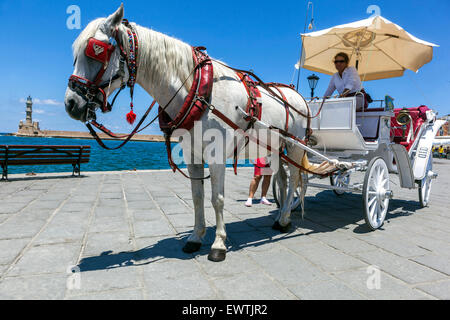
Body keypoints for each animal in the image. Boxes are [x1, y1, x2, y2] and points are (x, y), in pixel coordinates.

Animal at [65, 5, 310, 262]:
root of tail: (298, 95)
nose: (70, 103)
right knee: (282, 179)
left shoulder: (216, 156)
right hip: (275, 149)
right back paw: (280, 217)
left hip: (295, 145)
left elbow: (217, 199)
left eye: (97, 51)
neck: (198, 89)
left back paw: (285, 218)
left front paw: (218, 244)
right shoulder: (192, 154)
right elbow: (197, 197)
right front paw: (195, 237)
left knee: (295, 178)